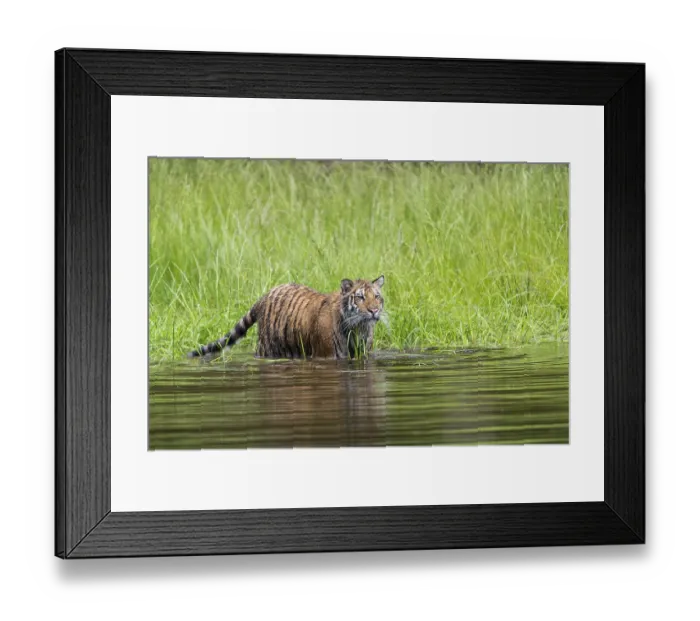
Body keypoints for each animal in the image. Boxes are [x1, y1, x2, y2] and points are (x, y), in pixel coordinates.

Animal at [188, 275, 385, 360]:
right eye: (360, 297)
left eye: (376, 296)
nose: (374, 310)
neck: (358, 328)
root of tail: (264, 296)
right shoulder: (327, 356)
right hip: (266, 348)